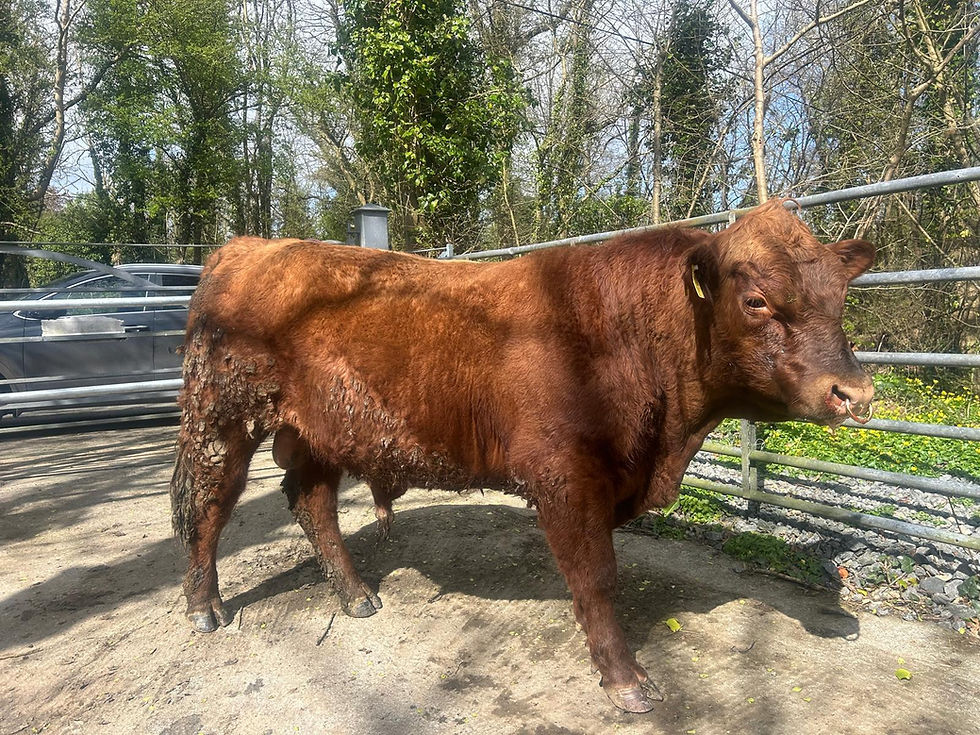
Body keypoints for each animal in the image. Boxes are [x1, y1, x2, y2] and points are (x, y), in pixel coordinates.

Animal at [170, 199, 874, 713]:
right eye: (756, 300)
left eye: (841, 297)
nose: (855, 392)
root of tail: (249, 247)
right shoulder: (567, 479)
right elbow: (597, 579)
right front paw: (627, 682)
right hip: (222, 420)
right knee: (207, 504)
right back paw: (204, 608)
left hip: (324, 432)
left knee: (310, 501)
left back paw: (356, 595)